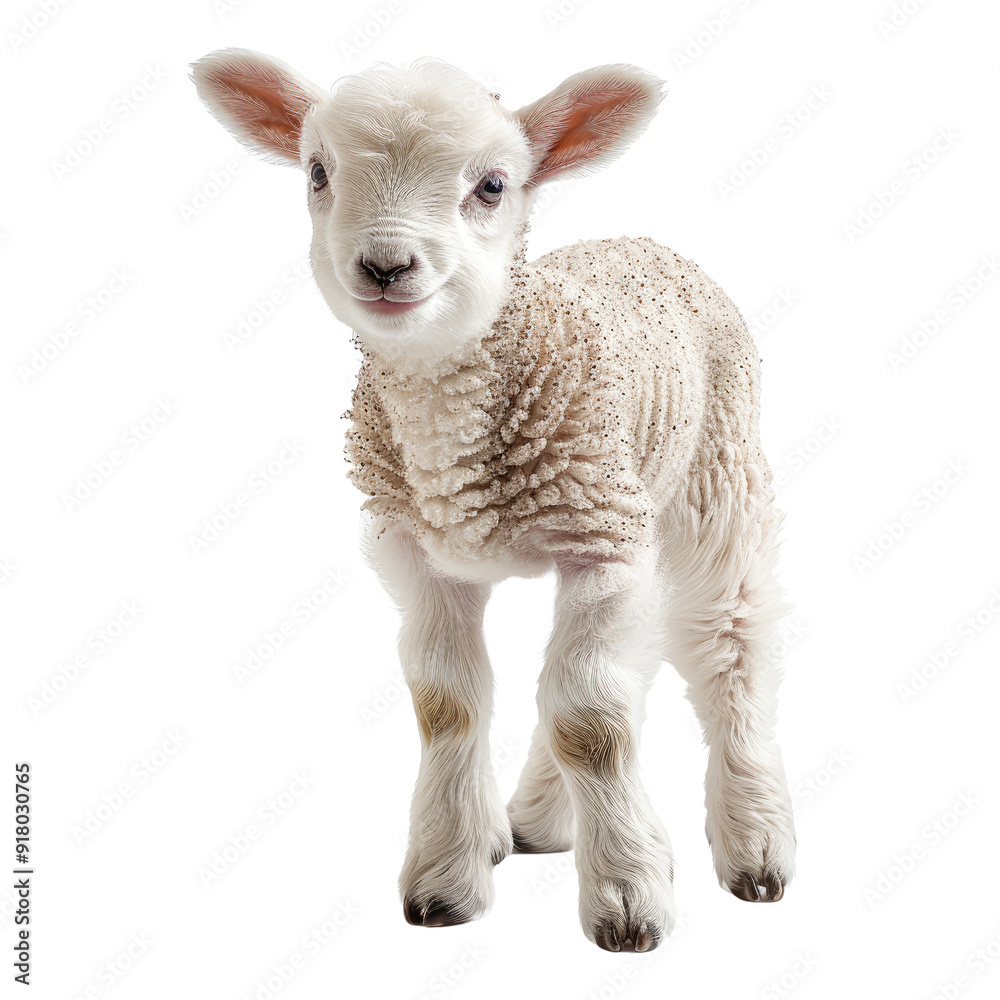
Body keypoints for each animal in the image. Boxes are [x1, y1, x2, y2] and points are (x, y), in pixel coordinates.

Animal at [192, 49, 796, 953]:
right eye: (317, 173)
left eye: (491, 186)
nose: (386, 266)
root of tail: (641, 240)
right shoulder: (419, 556)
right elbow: (449, 706)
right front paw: (447, 879)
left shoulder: (600, 543)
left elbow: (590, 720)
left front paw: (627, 898)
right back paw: (540, 819)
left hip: (713, 476)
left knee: (728, 644)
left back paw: (755, 845)